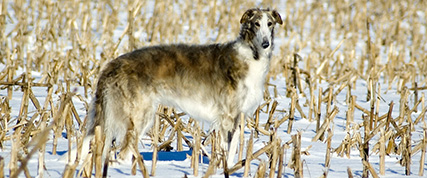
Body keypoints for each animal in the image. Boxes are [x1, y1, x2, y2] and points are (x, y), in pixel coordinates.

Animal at [63, 8, 282, 167]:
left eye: (270, 24)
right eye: (256, 23)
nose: (265, 44)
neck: (251, 54)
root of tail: (110, 66)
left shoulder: (235, 116)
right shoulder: (229, 116)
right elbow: (229, 150)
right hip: (139, 115)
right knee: (123, 154)